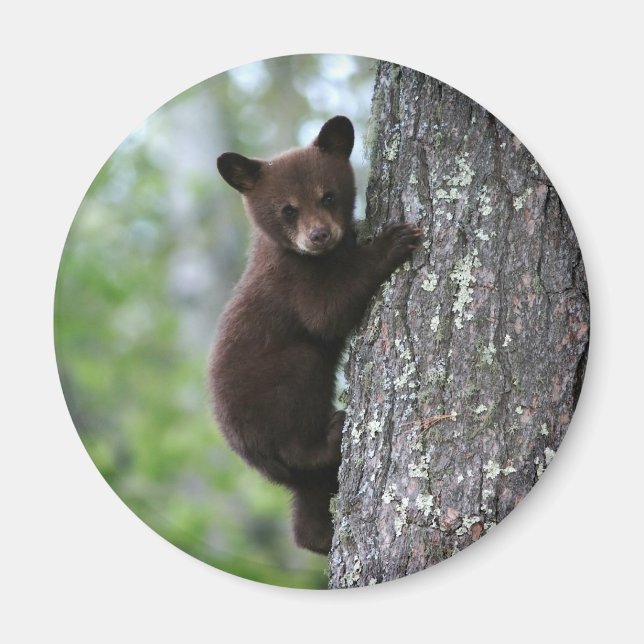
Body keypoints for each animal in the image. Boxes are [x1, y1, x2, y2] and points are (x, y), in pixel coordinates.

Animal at [209, 115, 421, 554]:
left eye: (328, 196)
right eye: (288, 209)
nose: (319, 235)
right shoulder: (293, 282)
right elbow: (327, 313)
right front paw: (391, 241)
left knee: (308, 505)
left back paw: (319, 536)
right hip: (276, 393)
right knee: (300, 412)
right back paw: (331, 433)